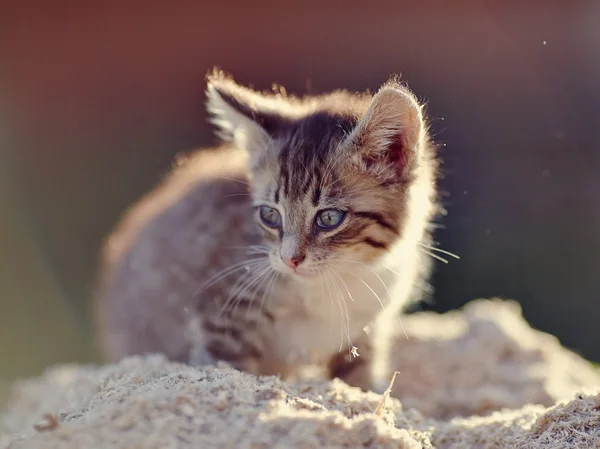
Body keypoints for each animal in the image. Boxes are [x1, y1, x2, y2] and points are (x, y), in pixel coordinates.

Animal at [92, 68, 440, 390]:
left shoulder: (366, 329)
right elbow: (227, 371)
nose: (290, 259)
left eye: (329, 218)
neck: (338, 280)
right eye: (270, 215)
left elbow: (359, 378)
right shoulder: (221, 318)